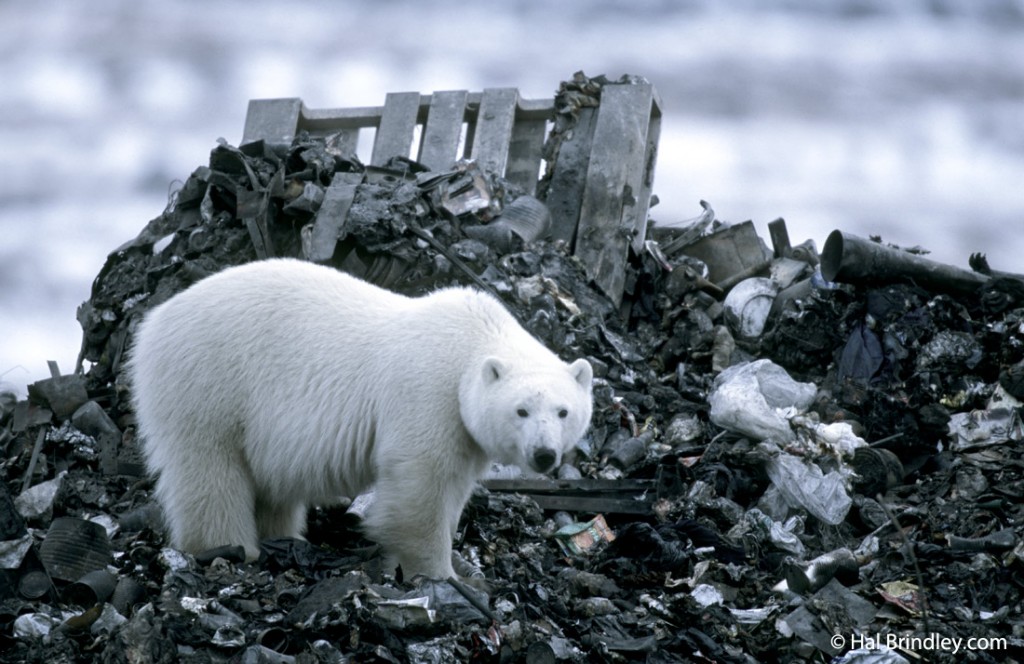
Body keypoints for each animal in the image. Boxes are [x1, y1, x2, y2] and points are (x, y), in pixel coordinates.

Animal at [128, 259, 593, 582]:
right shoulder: (428, 394)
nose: (545, 454)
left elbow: (453, 487)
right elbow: (421, 488)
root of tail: (153, 322)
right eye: (521, 410)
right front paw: (443, 575)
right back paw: (232, 548)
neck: (471, 341)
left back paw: (285, 537)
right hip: (210, 382)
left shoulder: (464, 429)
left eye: (563, 411)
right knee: (210, 471)